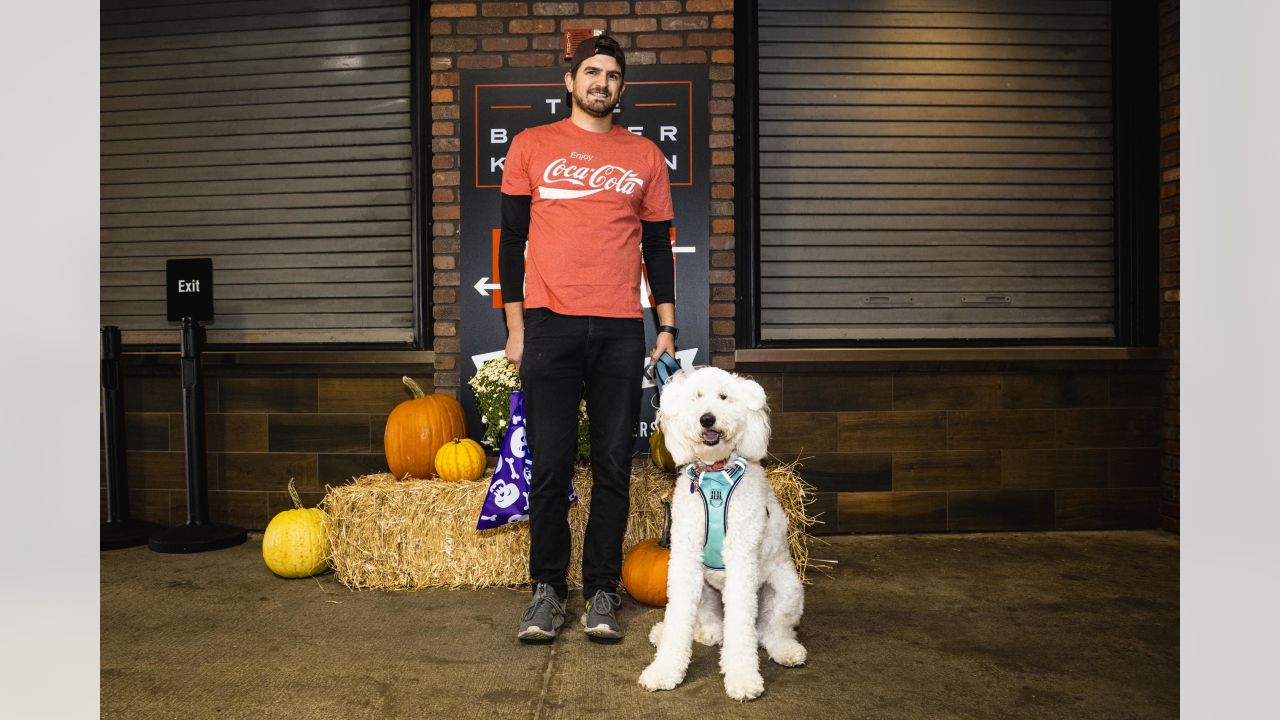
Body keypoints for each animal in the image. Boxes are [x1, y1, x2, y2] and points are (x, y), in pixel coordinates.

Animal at [640, 366, 808, 696]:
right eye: (696, 397)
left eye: (723, 397)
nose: (707, 419)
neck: (715, 477)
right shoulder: (685, 560)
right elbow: (678, 616)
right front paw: (664, 670)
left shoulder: (741, 559)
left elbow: (741, 626)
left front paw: (743, 678)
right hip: (706, 592)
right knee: (711, 625)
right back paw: (689, 632)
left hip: (787, 591)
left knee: (769, 631)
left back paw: (786, 650)